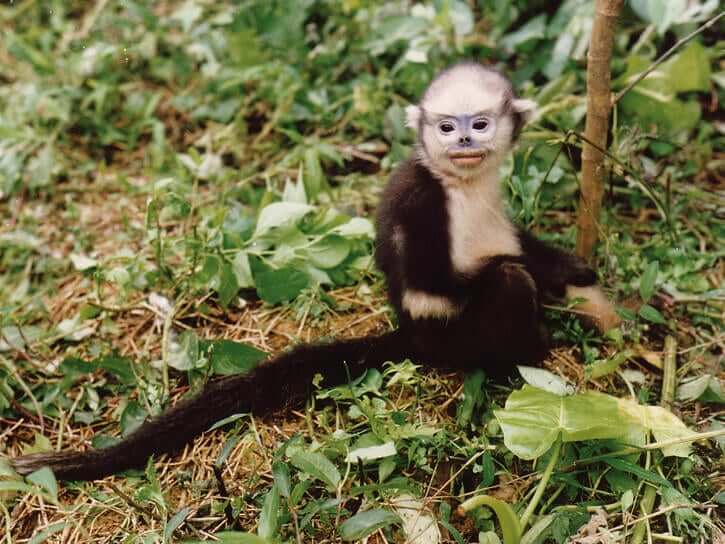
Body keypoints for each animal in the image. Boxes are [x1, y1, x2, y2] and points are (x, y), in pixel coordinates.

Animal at [10, 62, 619, 481]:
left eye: (481, 123)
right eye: (447, 128)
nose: (465, 139)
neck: (459, 185)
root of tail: (413, 336)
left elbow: (520, 242)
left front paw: (572, 269)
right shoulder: (420, 202)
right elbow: (447, 280)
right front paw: (548, 286)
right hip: (453, 336)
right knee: (507, 285)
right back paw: (528, 352)